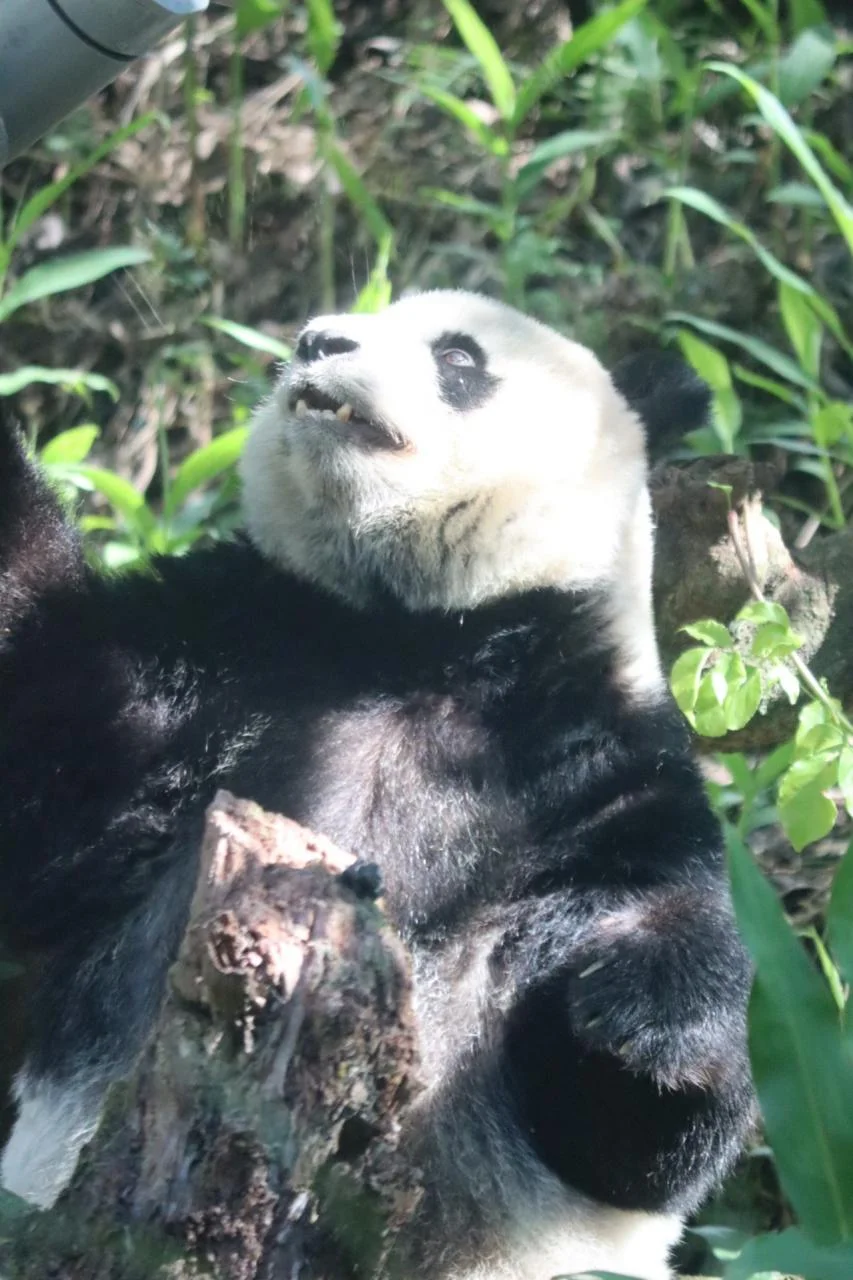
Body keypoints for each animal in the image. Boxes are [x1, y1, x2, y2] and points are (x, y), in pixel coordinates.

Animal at [0, 290, 752, 1280]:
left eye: (459, 358)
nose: (318, 340)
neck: (413, 644)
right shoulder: (208, 667)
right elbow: (42, 724)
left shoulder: (592, 771)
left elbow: (639, 1144)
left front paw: (644, 1028)